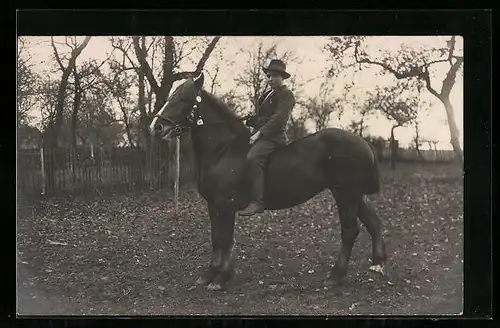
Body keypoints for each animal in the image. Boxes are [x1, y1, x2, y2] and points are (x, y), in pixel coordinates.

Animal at [148, 73, 386, 290]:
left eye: (183, 99)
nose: (156, 127)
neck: (223, 149)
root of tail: (363, 142)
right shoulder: (213, 205)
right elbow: (216, 238)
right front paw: (210, 275)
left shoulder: (225, 204)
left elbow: (225, 239)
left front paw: (221, 278)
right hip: (354, 194)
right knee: (373, 223)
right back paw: (377, 265)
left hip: (345, 193)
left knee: (349, 230)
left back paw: (336, 276)